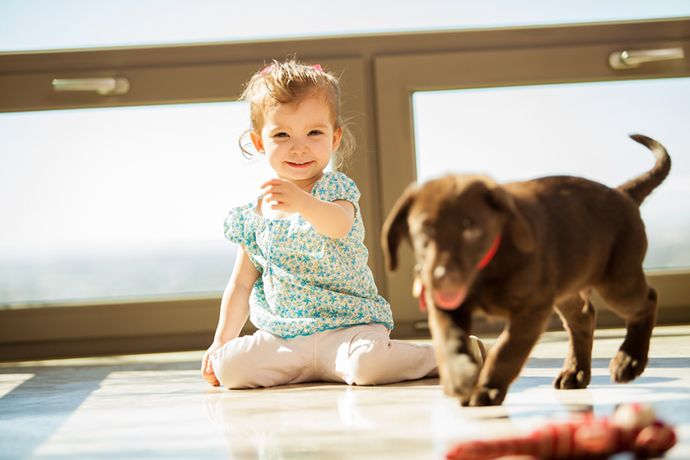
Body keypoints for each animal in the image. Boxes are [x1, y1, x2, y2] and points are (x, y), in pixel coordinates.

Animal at [382, 134, 668, 406]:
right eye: (424, 231)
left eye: (471, 228)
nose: (443, 278)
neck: (486, 268)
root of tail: (622, 194)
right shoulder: (447, 306)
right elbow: (447, 339)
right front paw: (459, 376)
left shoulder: (533, 307)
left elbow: (507, 349)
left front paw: (487, 388)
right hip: (566, 286)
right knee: (583, 317)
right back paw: (575, 372)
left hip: (616, 282)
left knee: (648, 300)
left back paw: (629, 360)